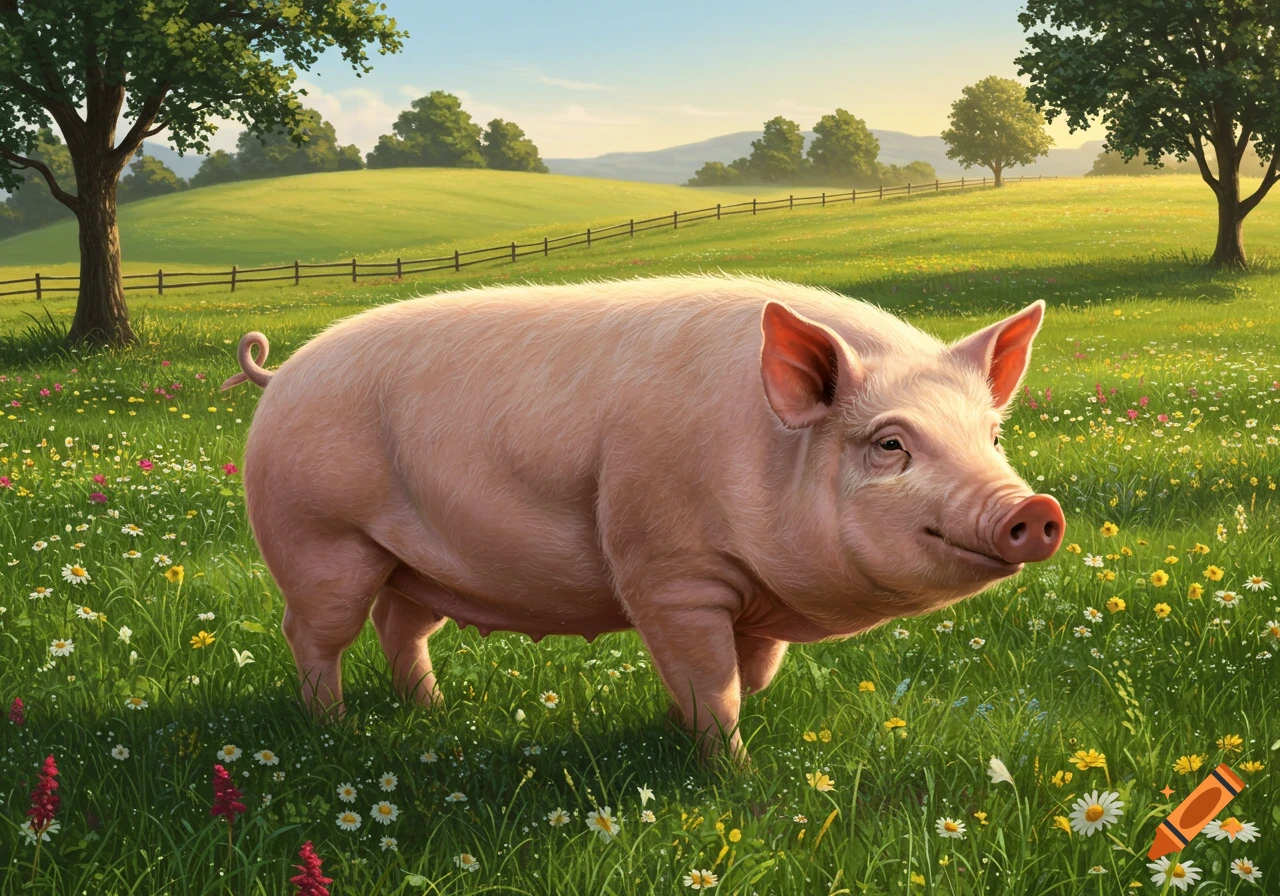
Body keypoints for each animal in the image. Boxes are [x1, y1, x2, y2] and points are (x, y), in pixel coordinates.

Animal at [223, 274, 1064, 759]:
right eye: (890, 444)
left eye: (992, 437)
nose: (1035, 508)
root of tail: (282, 372)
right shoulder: (668, 570)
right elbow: (714, 685)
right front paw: (730, 772)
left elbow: (747, 677)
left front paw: (675, 732)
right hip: (319, 537)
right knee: (315, 632)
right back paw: (331, 730)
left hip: (414, 561)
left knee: (400, 625)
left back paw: (432, 711)